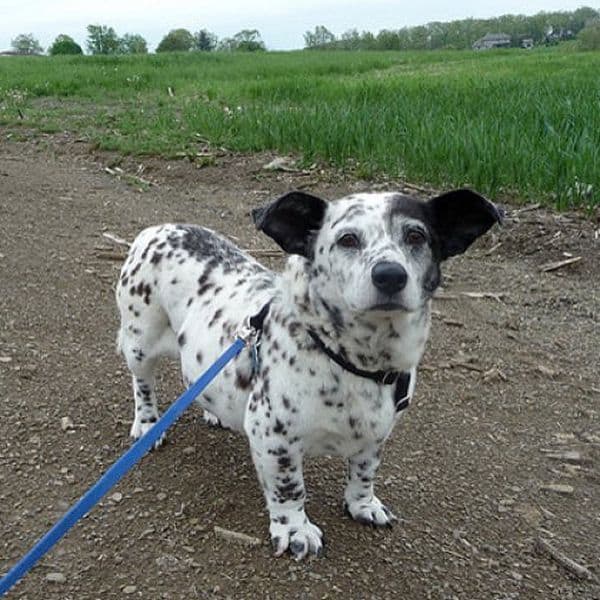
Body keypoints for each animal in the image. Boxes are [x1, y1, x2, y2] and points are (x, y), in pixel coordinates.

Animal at [116, 188, 502, 556]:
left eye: (416, 235)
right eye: (348, 239)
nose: (390, 275)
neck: (354, 362)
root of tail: (157, 228)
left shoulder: (377, 434)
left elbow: (365, 471)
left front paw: (363, 505)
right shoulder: (274, 439)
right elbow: (290, 488)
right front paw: (294, 530)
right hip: (140, 342)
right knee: (143, 383)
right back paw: (148, 423)